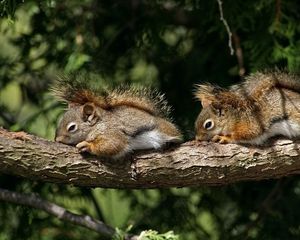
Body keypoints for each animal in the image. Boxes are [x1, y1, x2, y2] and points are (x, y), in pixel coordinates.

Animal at [52, 75, 182, 158]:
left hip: (165, 130)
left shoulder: (112, 131)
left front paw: (87, 145)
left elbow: (114, 144)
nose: (57, 140)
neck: (97, 124)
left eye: (72, 128)